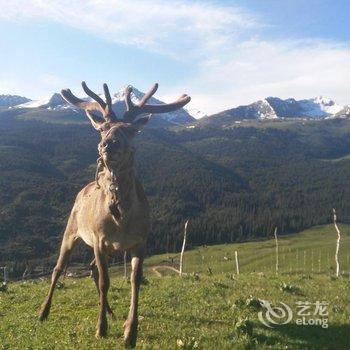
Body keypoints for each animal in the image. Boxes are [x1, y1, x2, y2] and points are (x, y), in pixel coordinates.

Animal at [38, 81, 190, 348]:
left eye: (130, 130)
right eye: (102, 129)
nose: (108, 144)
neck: (122, 219)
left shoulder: (141, 241)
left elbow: (134, 280)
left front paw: (130, 332)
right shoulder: (99, 240)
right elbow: (105, 281)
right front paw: (101, 329)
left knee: (90, 268)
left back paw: (109, 310)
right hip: (71, 230)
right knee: (58, 269)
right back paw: (44, 312)